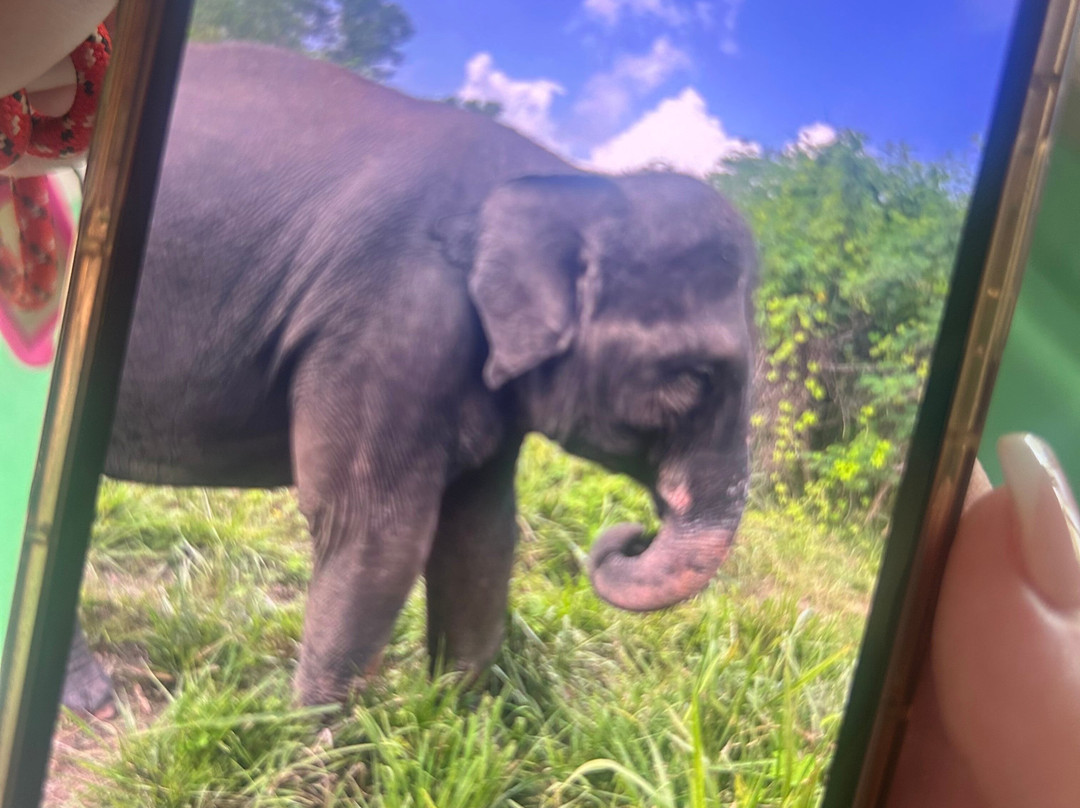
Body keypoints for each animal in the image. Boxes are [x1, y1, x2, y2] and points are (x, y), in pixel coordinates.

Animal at [61, 41, 756, 712]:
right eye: (697, 377)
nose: (629, 534)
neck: (572, 181)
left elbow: (480, 532)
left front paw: (458, 721)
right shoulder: (388, 319)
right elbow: (374, 525)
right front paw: (313, 743)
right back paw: (96, 703)